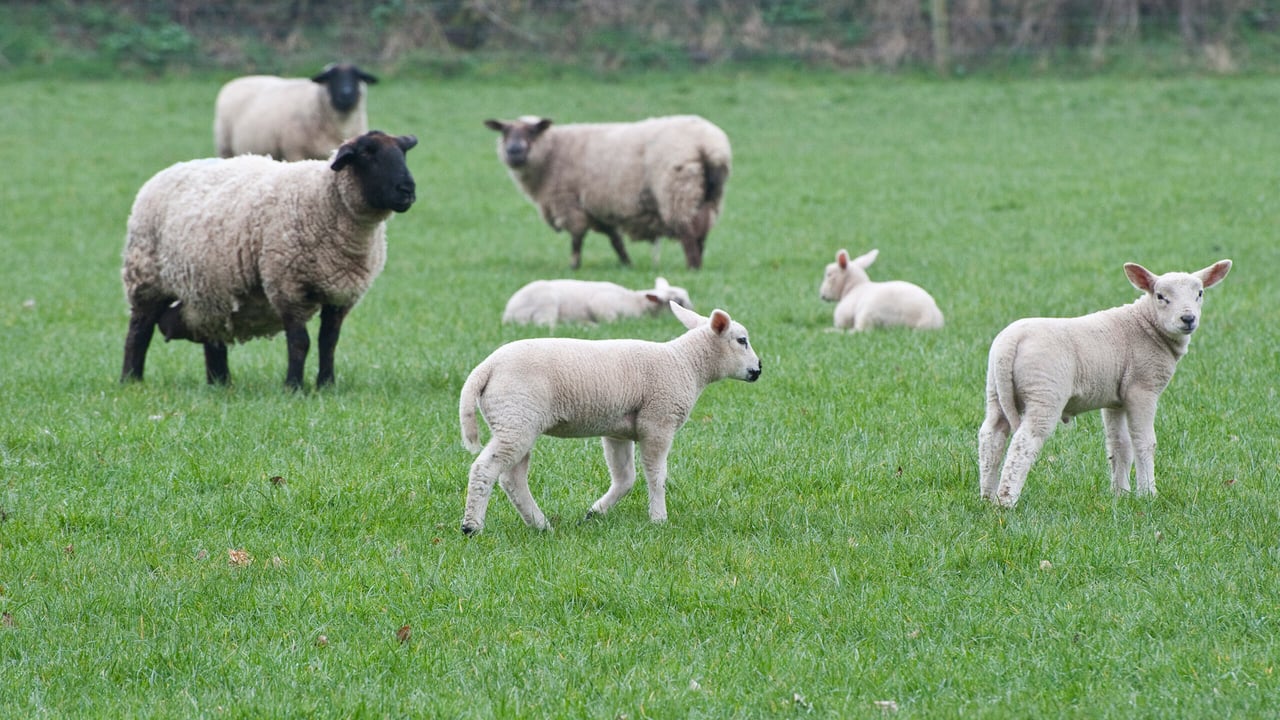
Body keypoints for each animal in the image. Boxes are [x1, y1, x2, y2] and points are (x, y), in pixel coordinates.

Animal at [120, 130, 418, 390]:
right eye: (367, 154)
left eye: (403, 153)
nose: (408, 190)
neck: (323, 201)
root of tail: (167, 171)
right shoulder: (288, 286)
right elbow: (300, 342)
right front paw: (293, 387)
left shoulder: (341, 295)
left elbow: (328, 342)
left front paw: (326, 385)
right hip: (146, 278)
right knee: (139, 332)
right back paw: (131, 381)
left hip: (211, 290)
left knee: (212, 337)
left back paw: (220, 384)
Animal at [214, 63, 378, 161]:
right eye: (332, 78)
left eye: (356, 77)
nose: (346, 94)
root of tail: (234, 82)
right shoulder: (294, 152)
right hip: (226, 149)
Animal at [458, 301, 762, 534]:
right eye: (742, 340)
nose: (758, 369)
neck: (685, 363)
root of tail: (485, 368)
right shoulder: (658, 421)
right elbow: (657, 475)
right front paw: (659, 519)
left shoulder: (618, 430)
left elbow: (625, 478)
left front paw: (595, 512)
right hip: (517, 418)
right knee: (486, 468)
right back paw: (472, 526)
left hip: (516, 420)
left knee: (513, 478)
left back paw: (540, 525)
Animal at [483, 115, 732, 270]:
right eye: (504, 132)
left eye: (532, 131)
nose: (514, 151)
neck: (551, 153)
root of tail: (710, 146)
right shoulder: (599, 207)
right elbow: (615, 240)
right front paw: (627, 264)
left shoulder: (569, 202)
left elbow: (577, 238)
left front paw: (573, 267)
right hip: (707, 196)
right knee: (701, 234)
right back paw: (698, 264)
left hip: (677, 191)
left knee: (688, 234)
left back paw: (692, 268)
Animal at [977, 259, 1232, 508]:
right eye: (1160, 296)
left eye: (1200, 293)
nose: (1188, 319)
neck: (1146, 325)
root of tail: (1011, 342)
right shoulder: (1142, 389)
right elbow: (1144, 442)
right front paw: (1148, 494)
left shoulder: (1115, 400)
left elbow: (1120, 445)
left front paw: (1121, 494)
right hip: (1044, 390)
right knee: (1025, 440)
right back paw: (1006, 501)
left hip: (995, 389)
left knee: (992, 434)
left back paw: (987, 496)